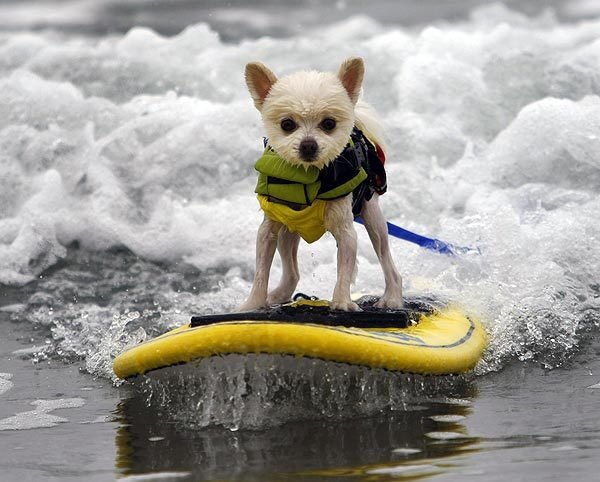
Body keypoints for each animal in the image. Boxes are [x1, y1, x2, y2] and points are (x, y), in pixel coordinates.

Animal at [239, 57, 404, 312]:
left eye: (329, 123)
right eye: (287, 124)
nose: (308, 145)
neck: (308, 177)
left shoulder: (346, 231)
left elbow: (344, 270)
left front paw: (342, 303)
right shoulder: (268, 229)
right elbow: (261, 272)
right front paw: (252, 305)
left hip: (373, 218)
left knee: (387, 260)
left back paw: (392, 298)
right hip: (288, 231)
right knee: (292, 272)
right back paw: (278, 295)